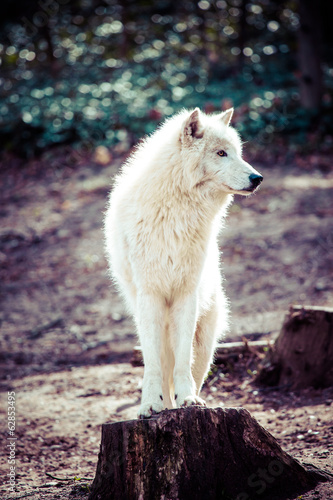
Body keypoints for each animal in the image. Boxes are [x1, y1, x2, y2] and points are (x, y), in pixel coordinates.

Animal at [104, 106, 262, 418]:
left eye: (238, 153)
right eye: (221, 153)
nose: (258, 178)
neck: (177, 211)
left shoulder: (185, 294)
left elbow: (183, 362)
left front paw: (188, 400)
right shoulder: (151, 295)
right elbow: (152, 367)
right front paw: (149, 405)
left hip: (206, 341)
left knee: (192, 367)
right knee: (161, 364)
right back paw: (164, 406)